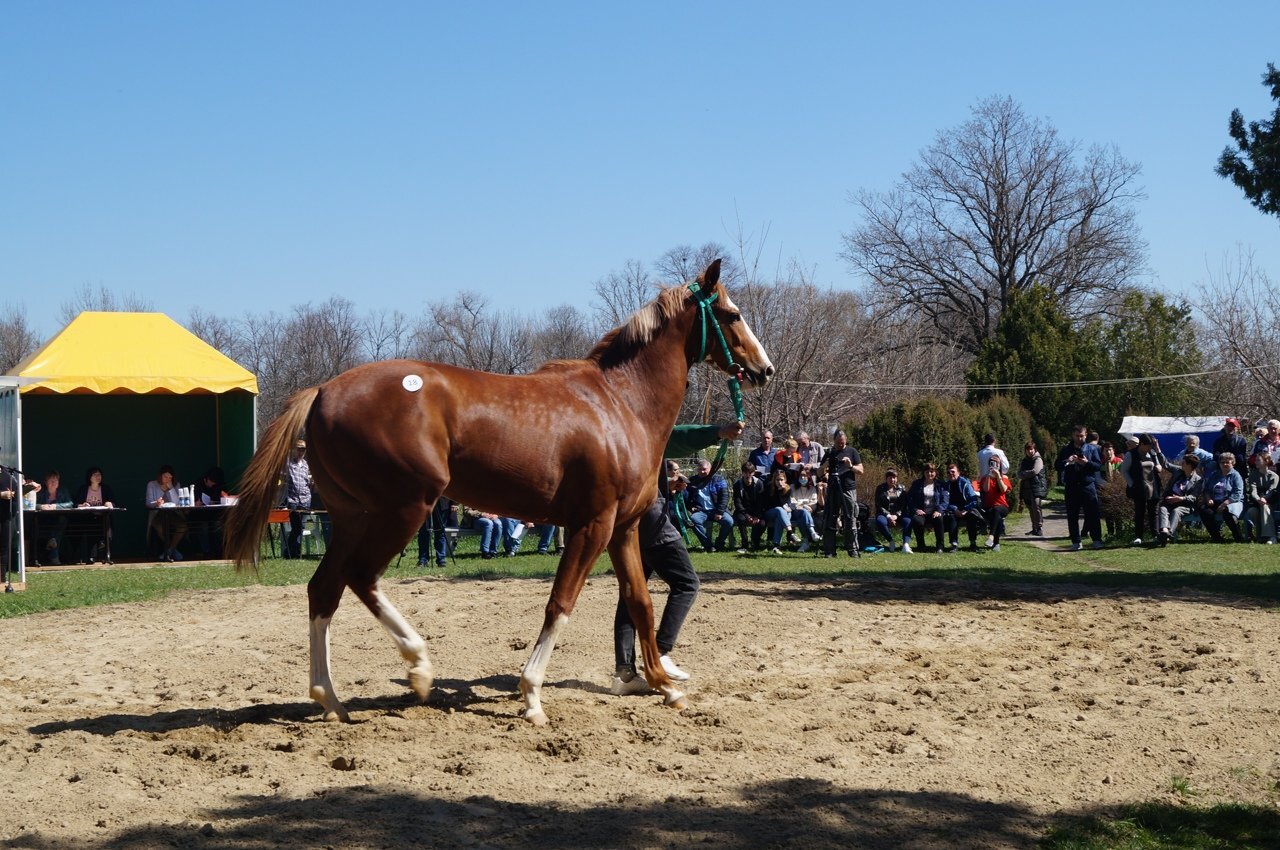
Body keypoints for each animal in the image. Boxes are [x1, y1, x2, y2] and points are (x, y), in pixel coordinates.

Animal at [222, 258, 768, 721]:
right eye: (732, 314)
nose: (765, 369)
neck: (618, 404)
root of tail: (323, 392)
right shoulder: (592, 526)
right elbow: (560, 603)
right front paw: (532, 695)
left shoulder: (625, 528)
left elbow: (639, 602)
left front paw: (663, 685)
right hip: (405, 509)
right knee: (361, 577)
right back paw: (418, 666)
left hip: (352, 517)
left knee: (324, 589)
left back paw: (331, 699)